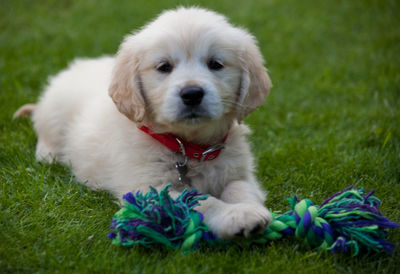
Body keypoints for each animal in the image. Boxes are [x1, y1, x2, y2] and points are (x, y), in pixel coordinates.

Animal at [14, 7, 272, 239]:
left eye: (216, 64)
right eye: (164, 67)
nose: (192, 94)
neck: (189, 147)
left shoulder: (239, 172)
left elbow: (240, 188)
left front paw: (250, 211)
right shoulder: (149, 188)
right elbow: (202, 201)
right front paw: (235, 216)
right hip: (54, 113)